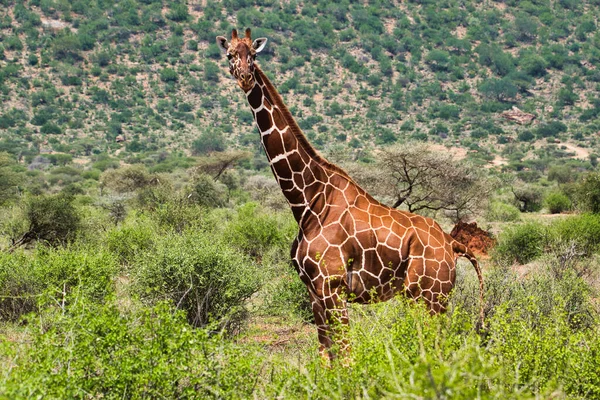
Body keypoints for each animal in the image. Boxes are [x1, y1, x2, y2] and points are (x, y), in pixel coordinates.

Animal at [216, 28, 482, 360]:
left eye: (253, 54)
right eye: (230, 55)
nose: (245, 78)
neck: (307, 201)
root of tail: (453, 244)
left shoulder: (333, 286)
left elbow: (346, 356)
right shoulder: (313, 291)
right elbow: (326, 357)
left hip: (432, 296)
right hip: (420, 297)